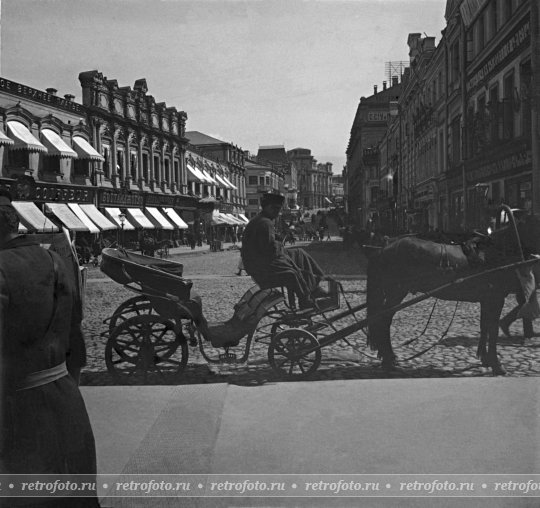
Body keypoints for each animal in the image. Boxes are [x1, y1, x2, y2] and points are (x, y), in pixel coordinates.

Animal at [364, 216, 540, 376]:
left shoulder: (487, 299)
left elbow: (484, 327)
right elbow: (493, 329)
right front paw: (496, 364)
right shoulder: (496, 299)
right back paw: (388, 359)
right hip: (397, 291)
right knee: (384, 319)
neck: (493, 253)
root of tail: (383, 248)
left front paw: (485, 358)